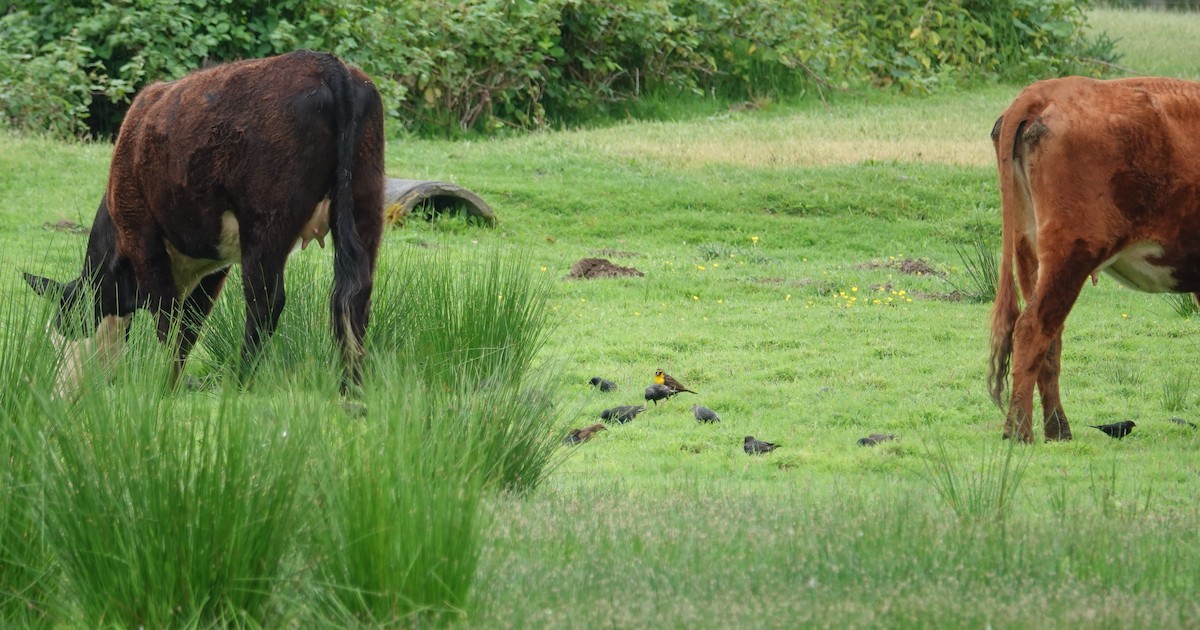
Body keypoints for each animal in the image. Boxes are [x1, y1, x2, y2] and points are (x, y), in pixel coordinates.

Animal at [24, 50, 384, 393]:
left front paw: (165, 385)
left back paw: (241, 381)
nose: (58, 390)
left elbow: (168, 319)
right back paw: (352, 387)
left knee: (265, 302)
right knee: (355, 297)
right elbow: (190, 324)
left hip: (265, 224)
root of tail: (326, 65)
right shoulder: (214, 263)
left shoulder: (142, 238)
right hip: (365, 202)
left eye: (66, 328)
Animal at [988, 76, 1200, 441]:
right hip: (1072, 252)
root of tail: (1047, 89)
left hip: (1030, 250)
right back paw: (1019, 432)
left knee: (1049, 340)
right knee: (1031, 329)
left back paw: (1057, 429)